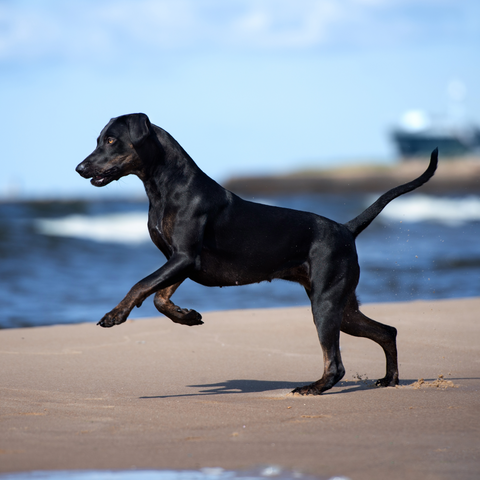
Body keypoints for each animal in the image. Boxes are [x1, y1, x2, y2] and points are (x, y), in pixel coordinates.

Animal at [76, 114, 438, 396]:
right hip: (343, 306)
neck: (165, 186)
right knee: (386, 331)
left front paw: (115, 315)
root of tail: (346, 229)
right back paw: (389, 380)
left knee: (336, 363)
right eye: (98, 140)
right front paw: (188, 316)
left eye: (112, 140)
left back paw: (313, 387)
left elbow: (141, 285)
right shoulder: (180, 261)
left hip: (325, 303)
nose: (79, 168)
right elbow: (158, 297)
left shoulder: (184, 258)